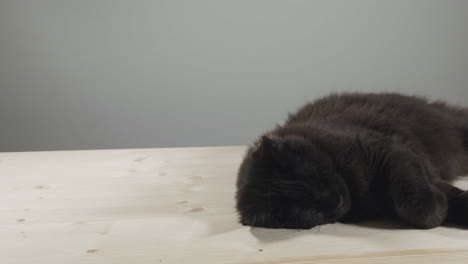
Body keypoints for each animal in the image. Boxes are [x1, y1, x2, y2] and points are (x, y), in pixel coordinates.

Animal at [236, 93, 468, 229]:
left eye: (318, 178)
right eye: (308, 210)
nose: (336, 199)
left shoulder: (391, 150)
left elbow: (415, 202)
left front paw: (440, 206)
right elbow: (424, 205)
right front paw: (443, 207)